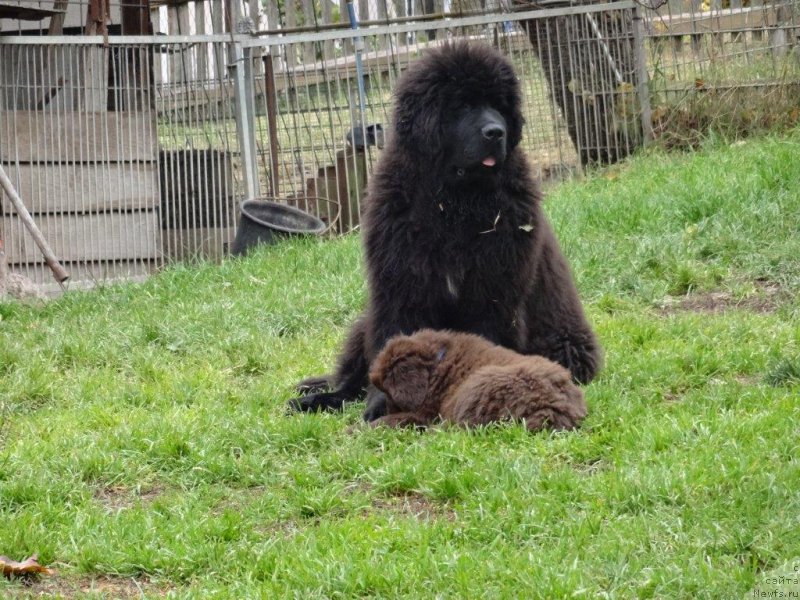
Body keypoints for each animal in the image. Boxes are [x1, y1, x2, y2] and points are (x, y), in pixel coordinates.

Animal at [290, 42, 600, 420]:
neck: (454, 202)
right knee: (351, 380)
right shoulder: (400, 286)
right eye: (463, 105)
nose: (496, 132)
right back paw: (316, 398)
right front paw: (380, 405)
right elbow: (391, 345)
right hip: (365, 322)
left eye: (499, 105)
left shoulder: (492, 293)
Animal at [370, 328, 588, 432]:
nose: (387, 408)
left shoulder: (425, 411)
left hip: (479, 385)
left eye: (388, 392)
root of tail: (552, 408)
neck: (439, 363)